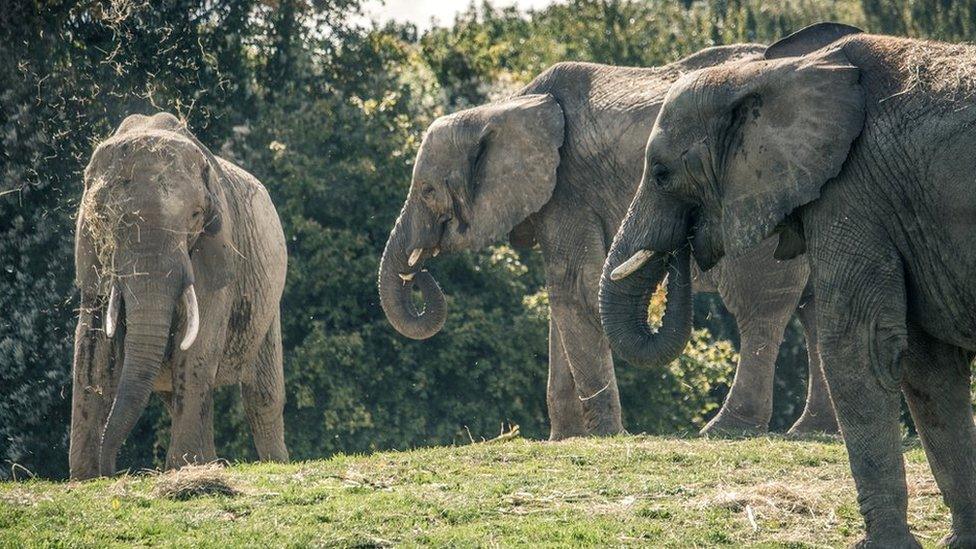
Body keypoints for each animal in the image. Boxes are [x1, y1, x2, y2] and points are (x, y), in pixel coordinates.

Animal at [70, 112, 288, 480]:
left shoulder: (218, 249)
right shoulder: (92, 253)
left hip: (269, 300)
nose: (113, 470)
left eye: (195, 216)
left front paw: (188, 467)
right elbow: (92, 343)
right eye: (107, 219)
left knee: (262, 395)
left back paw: (276, 464)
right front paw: (85, 478)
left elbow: (200, 340)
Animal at [380, 45, 840, 438]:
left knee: (760, 304)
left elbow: (574, 289)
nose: (418, 275)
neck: (507, 105)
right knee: (818, 305)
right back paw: (812, 431)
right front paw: (565, 440)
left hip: (759, 186)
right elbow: (561, 299)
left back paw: (725, 431)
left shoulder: (568, 190)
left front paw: (603, 435)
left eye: (427, 191)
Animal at [600, 21, 976, 544]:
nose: (684, 249)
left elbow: (859, 345)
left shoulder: (853, 190)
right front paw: (960, 542)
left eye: (660, 173)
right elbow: (929, 364)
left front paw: (883, 545)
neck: (769, 72)